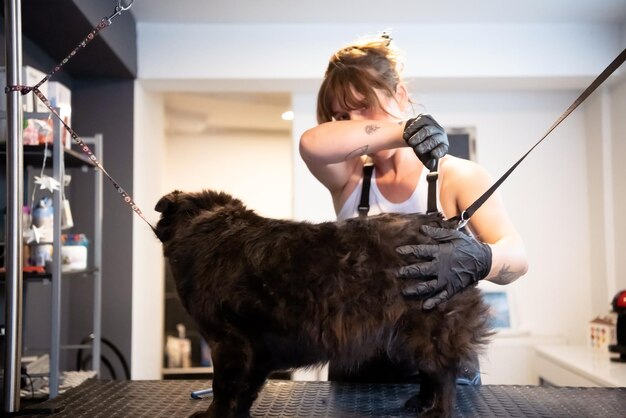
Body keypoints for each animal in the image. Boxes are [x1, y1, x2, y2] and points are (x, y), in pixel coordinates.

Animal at [154, 190, 490, 418]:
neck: (208, 229)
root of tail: (447, 225)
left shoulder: (228, 343)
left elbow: (223, 389)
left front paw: (214, 415)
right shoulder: (256, 350)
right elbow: (246, 389)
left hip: (427, 325)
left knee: (443, 374)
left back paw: (437, 410)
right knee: (430, 372)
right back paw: (420, 402)